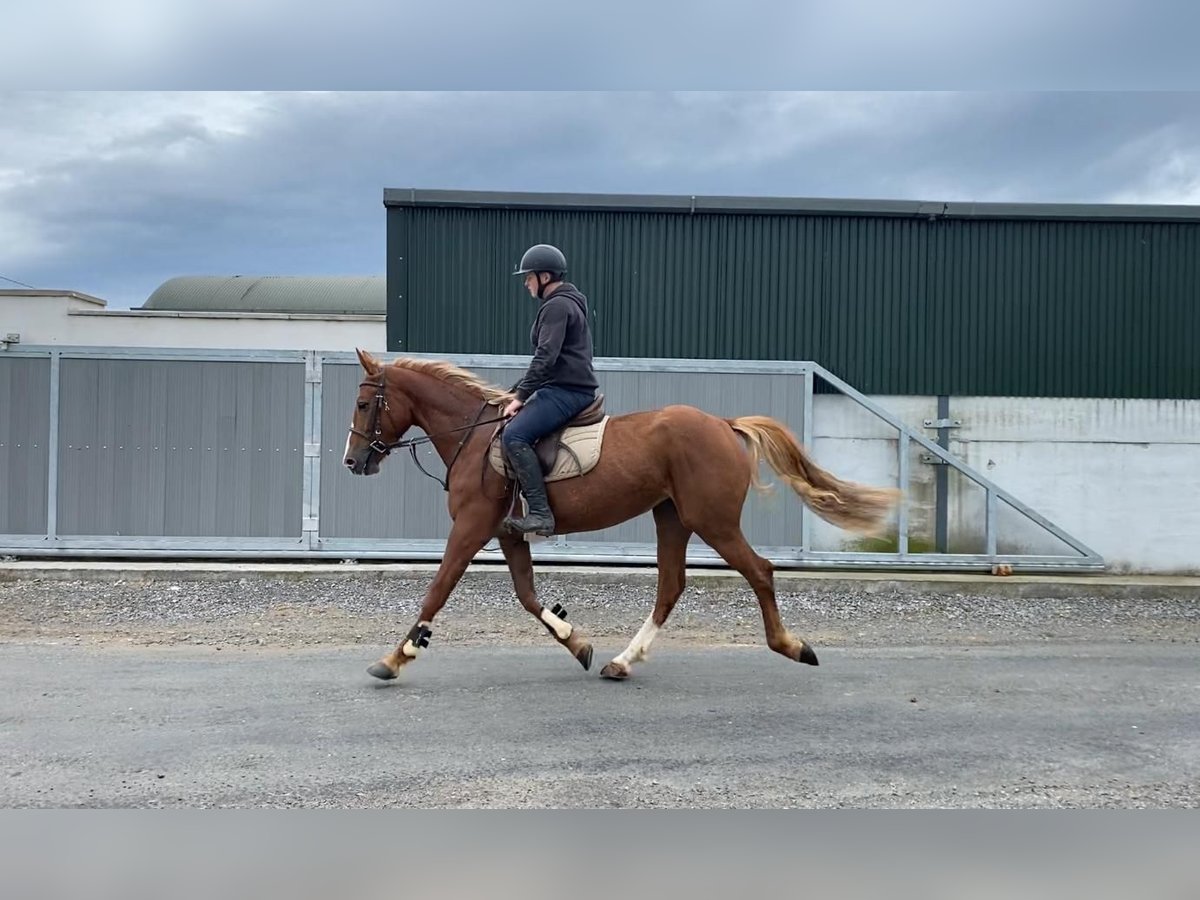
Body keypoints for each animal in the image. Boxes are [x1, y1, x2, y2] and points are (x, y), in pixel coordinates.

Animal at [343, 352, 897, 681]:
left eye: (365, 403)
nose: (352, 462)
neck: (474, 436)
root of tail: (722, 423)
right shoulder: (507, 533)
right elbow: (528, 596)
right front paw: (577, 642)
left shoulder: (471, 528)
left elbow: (438, 589)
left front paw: (397, 657)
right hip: (673, 518)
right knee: (671, 585)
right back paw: (622, 661)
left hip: (712, 521)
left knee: (759, 571)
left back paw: (791, 646)